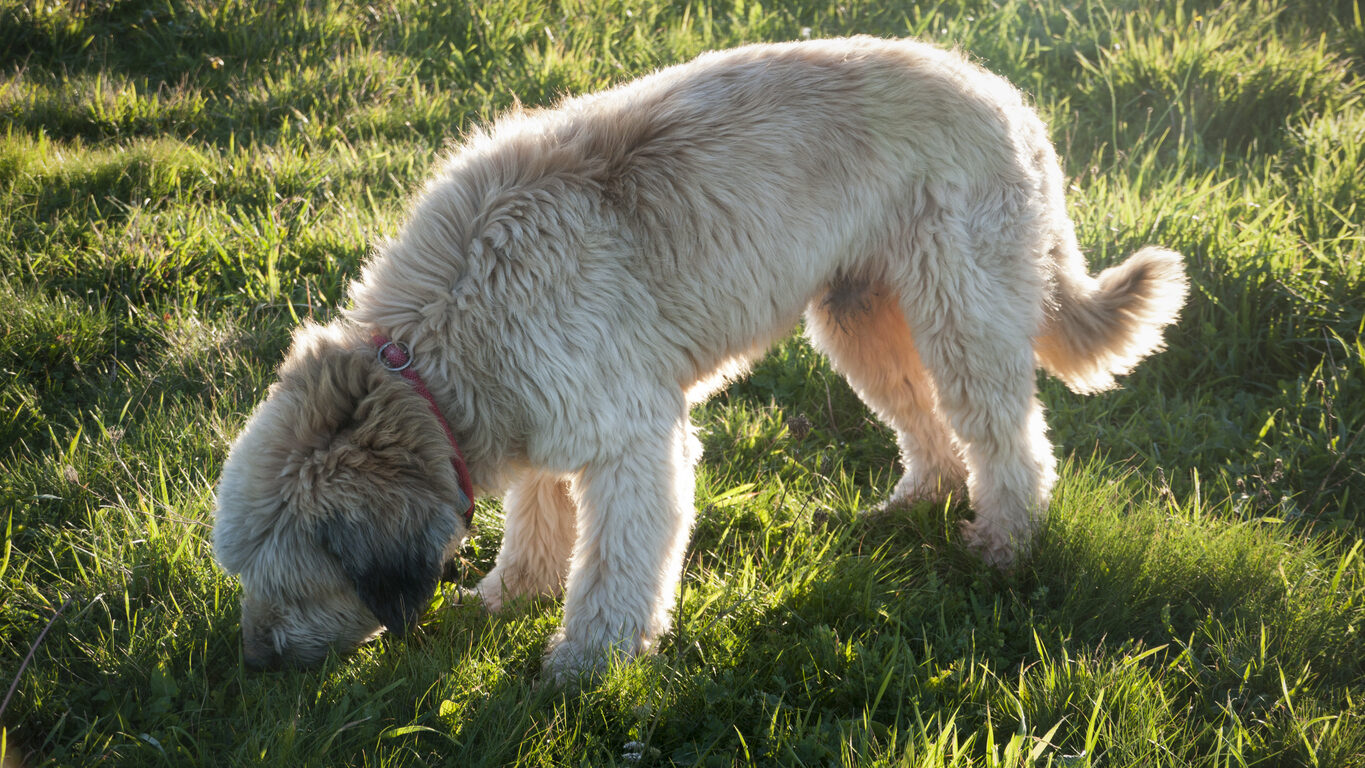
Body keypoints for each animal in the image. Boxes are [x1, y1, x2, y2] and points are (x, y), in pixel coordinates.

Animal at [210, 36, 1184, 673]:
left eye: (291, 583)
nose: (249, 665)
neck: (434, 351)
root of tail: (1006, 95)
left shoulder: (633, 441)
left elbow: (615, 563)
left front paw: (586, 661)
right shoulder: (542, 417)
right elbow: (536, 518)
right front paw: (511, 594)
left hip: (962, 312)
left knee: (1010, 442)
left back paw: (1004, 541)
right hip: (860, 316)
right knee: (929, 431)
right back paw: (914, 504)